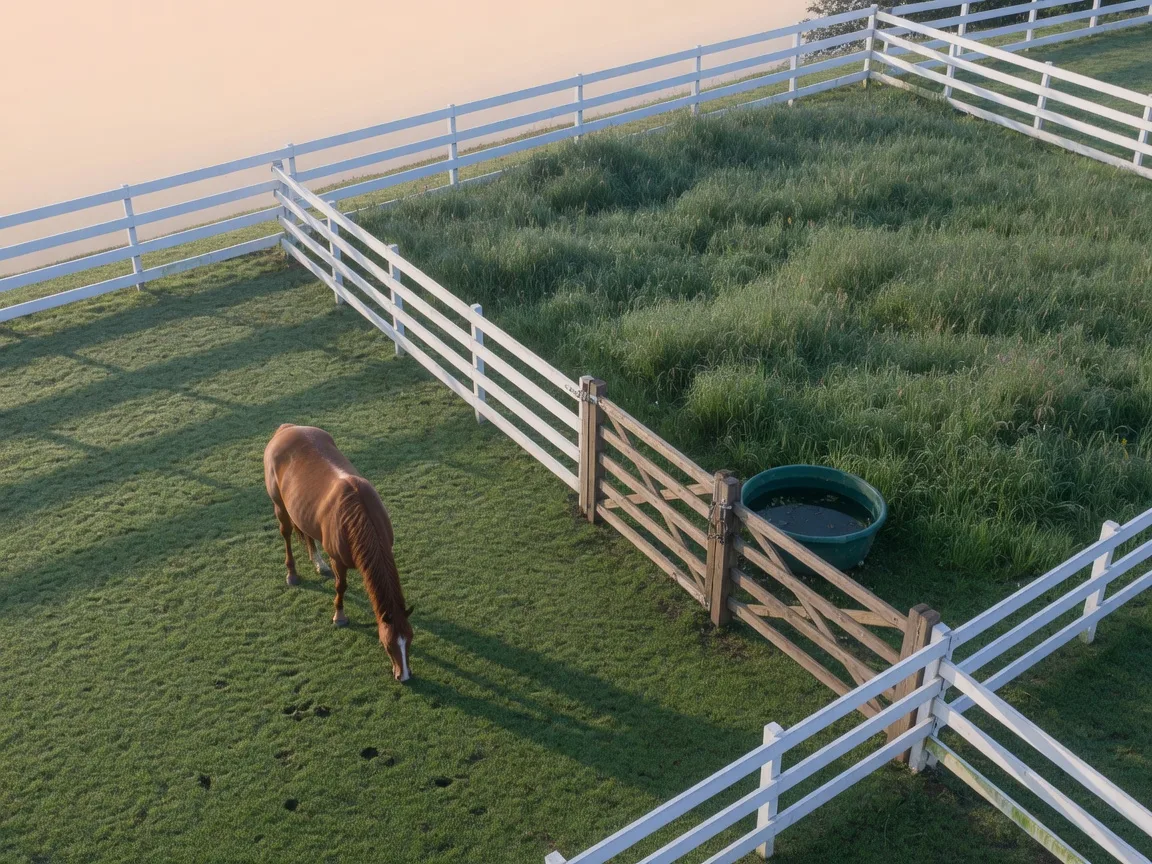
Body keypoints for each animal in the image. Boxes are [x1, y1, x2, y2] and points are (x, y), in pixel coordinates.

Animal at [263, 424, 414, 682]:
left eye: (410, 641)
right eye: (387, 646)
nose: (403, 676)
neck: (360, 514)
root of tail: (287, 428)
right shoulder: (339, 561)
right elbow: (340, 587)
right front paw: (339, 616)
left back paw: (318, 563)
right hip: (280, 506)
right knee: (287, 534)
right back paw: (292, 574)